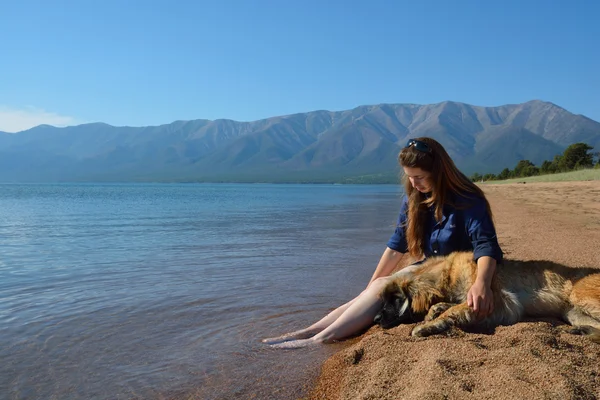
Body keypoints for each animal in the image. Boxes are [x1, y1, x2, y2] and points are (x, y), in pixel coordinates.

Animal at [376, 252, 600, 342]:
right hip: (573, 312)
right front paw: (432, 313)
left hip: (581, 297)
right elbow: (446, 305)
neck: (447, 274)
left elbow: (453, 309)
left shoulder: (498, 302)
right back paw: (583, 331)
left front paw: (426, 326)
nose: (376, 319)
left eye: (395, 299)